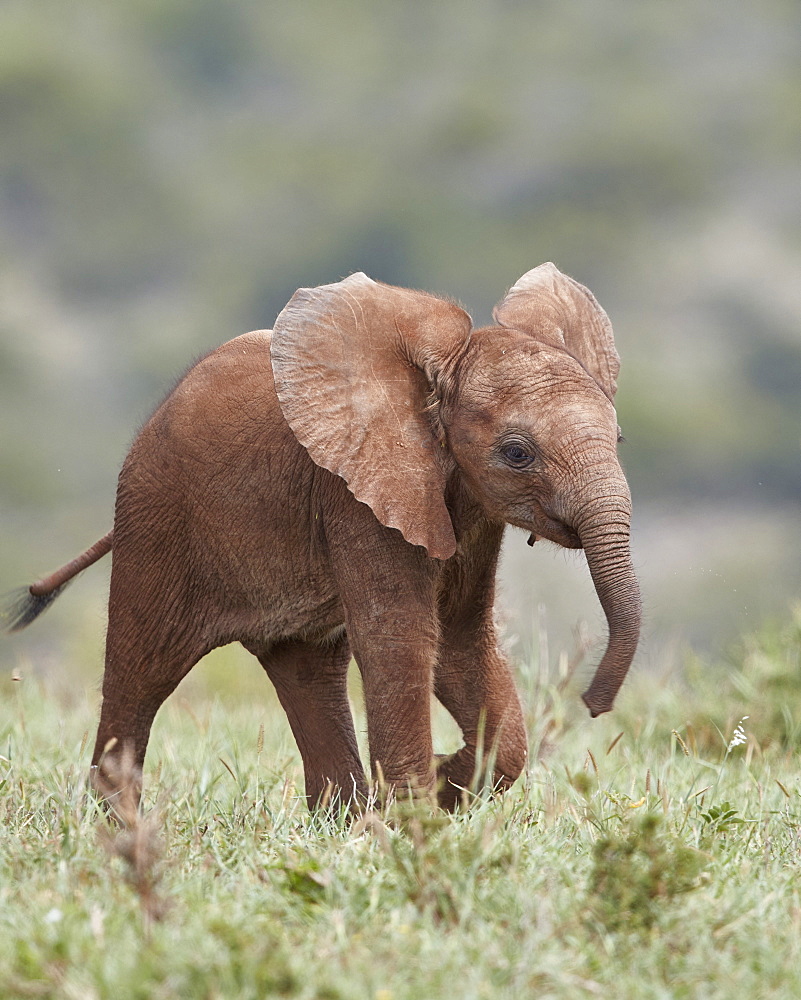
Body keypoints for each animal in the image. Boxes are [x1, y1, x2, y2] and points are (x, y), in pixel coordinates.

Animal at [3, 266, 640, 812]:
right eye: (516, 453)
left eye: (619, 437)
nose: (592, 705)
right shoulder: (355, 495)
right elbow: (399, 637)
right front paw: (417, 818)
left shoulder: (467, 511)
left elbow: (461, 639)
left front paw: (434, 787)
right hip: (156, 517)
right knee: (141, 671)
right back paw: (123, 834)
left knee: (307, 671)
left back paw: (345, 820)